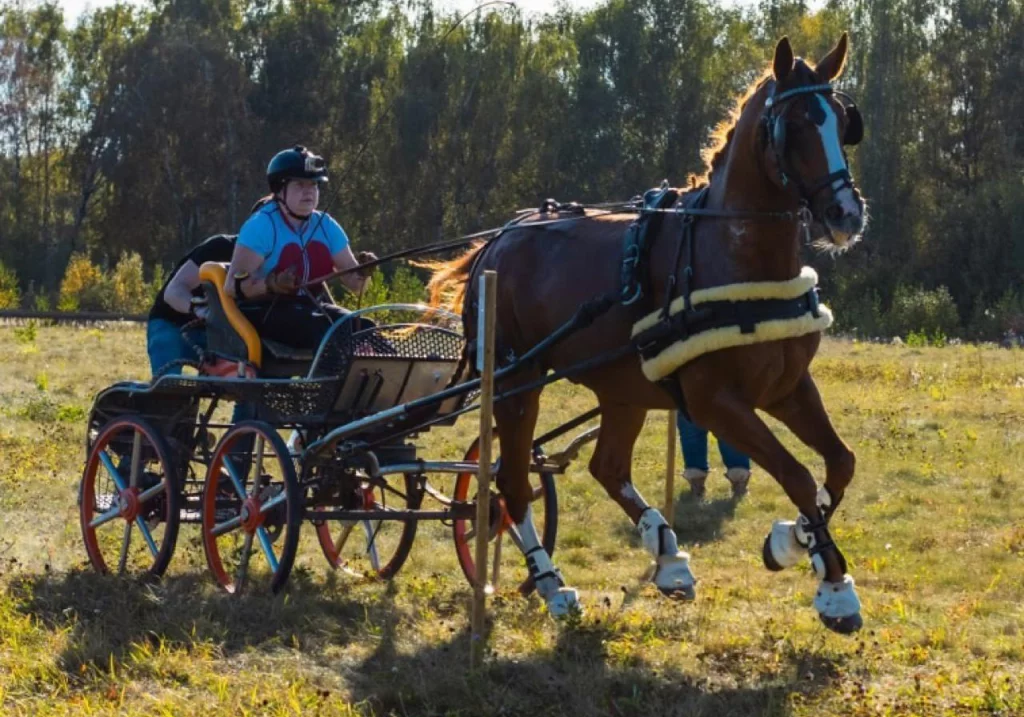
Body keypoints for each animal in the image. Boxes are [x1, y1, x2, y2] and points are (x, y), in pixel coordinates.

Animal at [427, 34, 867, 633]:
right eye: (795, 124)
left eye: (843, 121)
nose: (846, 213)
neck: (732, 255)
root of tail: (500, 239)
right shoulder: (714, 402)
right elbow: (797, 474)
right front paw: (820, 574)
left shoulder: (787, 389)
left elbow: (839, 464)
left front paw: (804, 550)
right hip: (518, 383)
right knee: (511, 485)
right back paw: (553, 584)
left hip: (623, 389)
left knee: (606, 467)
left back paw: (668, 554)